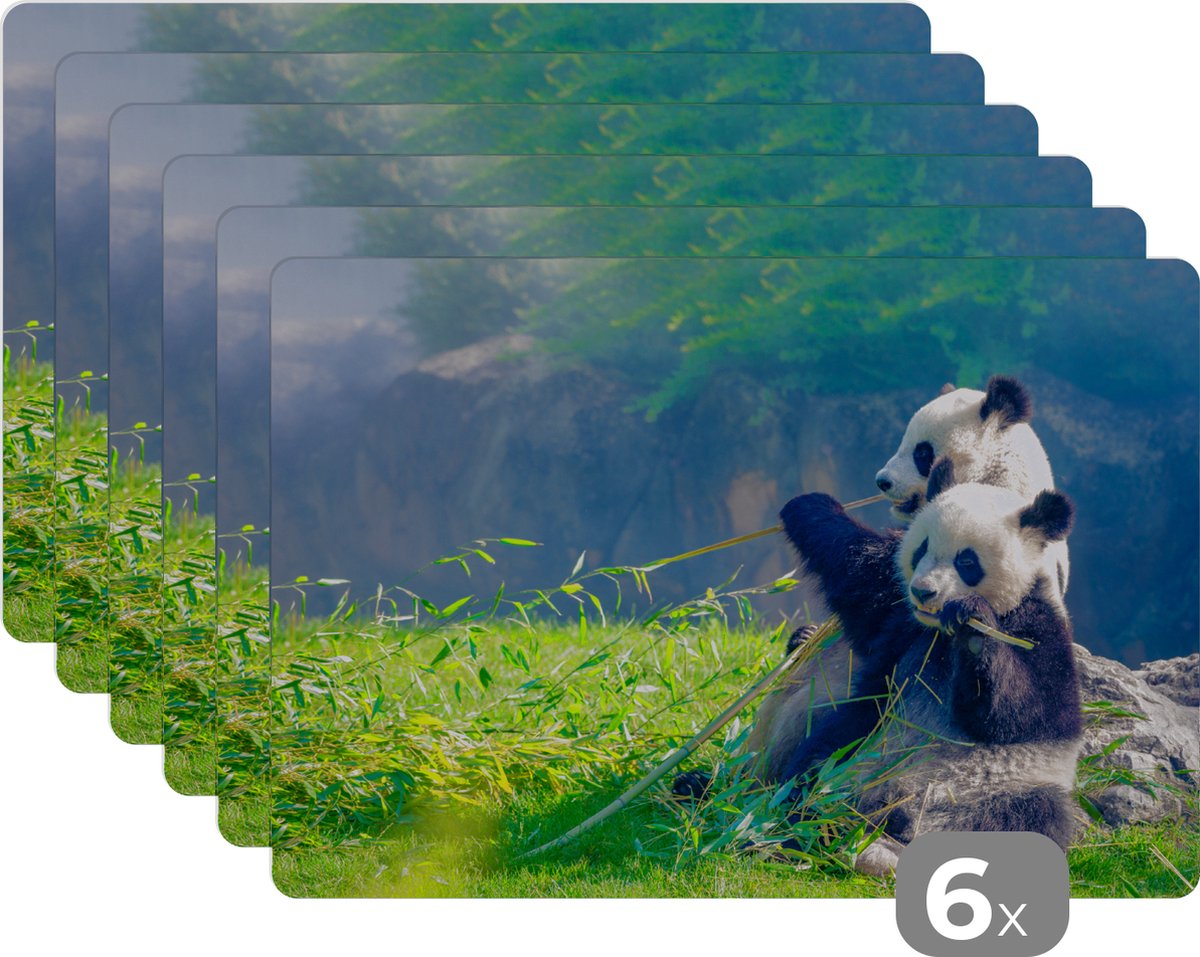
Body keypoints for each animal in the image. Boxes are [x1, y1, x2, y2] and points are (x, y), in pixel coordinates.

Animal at [755, 460, 1082, 872]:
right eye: (921, 549)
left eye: (966, 561)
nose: (923, 592)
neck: (939, 634)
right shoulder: (902, 624)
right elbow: (861, 575)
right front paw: (809, 505)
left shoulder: (1040, 627)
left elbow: (1022, 710)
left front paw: (974, 626)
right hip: (858, 748)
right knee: (813, 772)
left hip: (1010, 787)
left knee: (1031, 819)